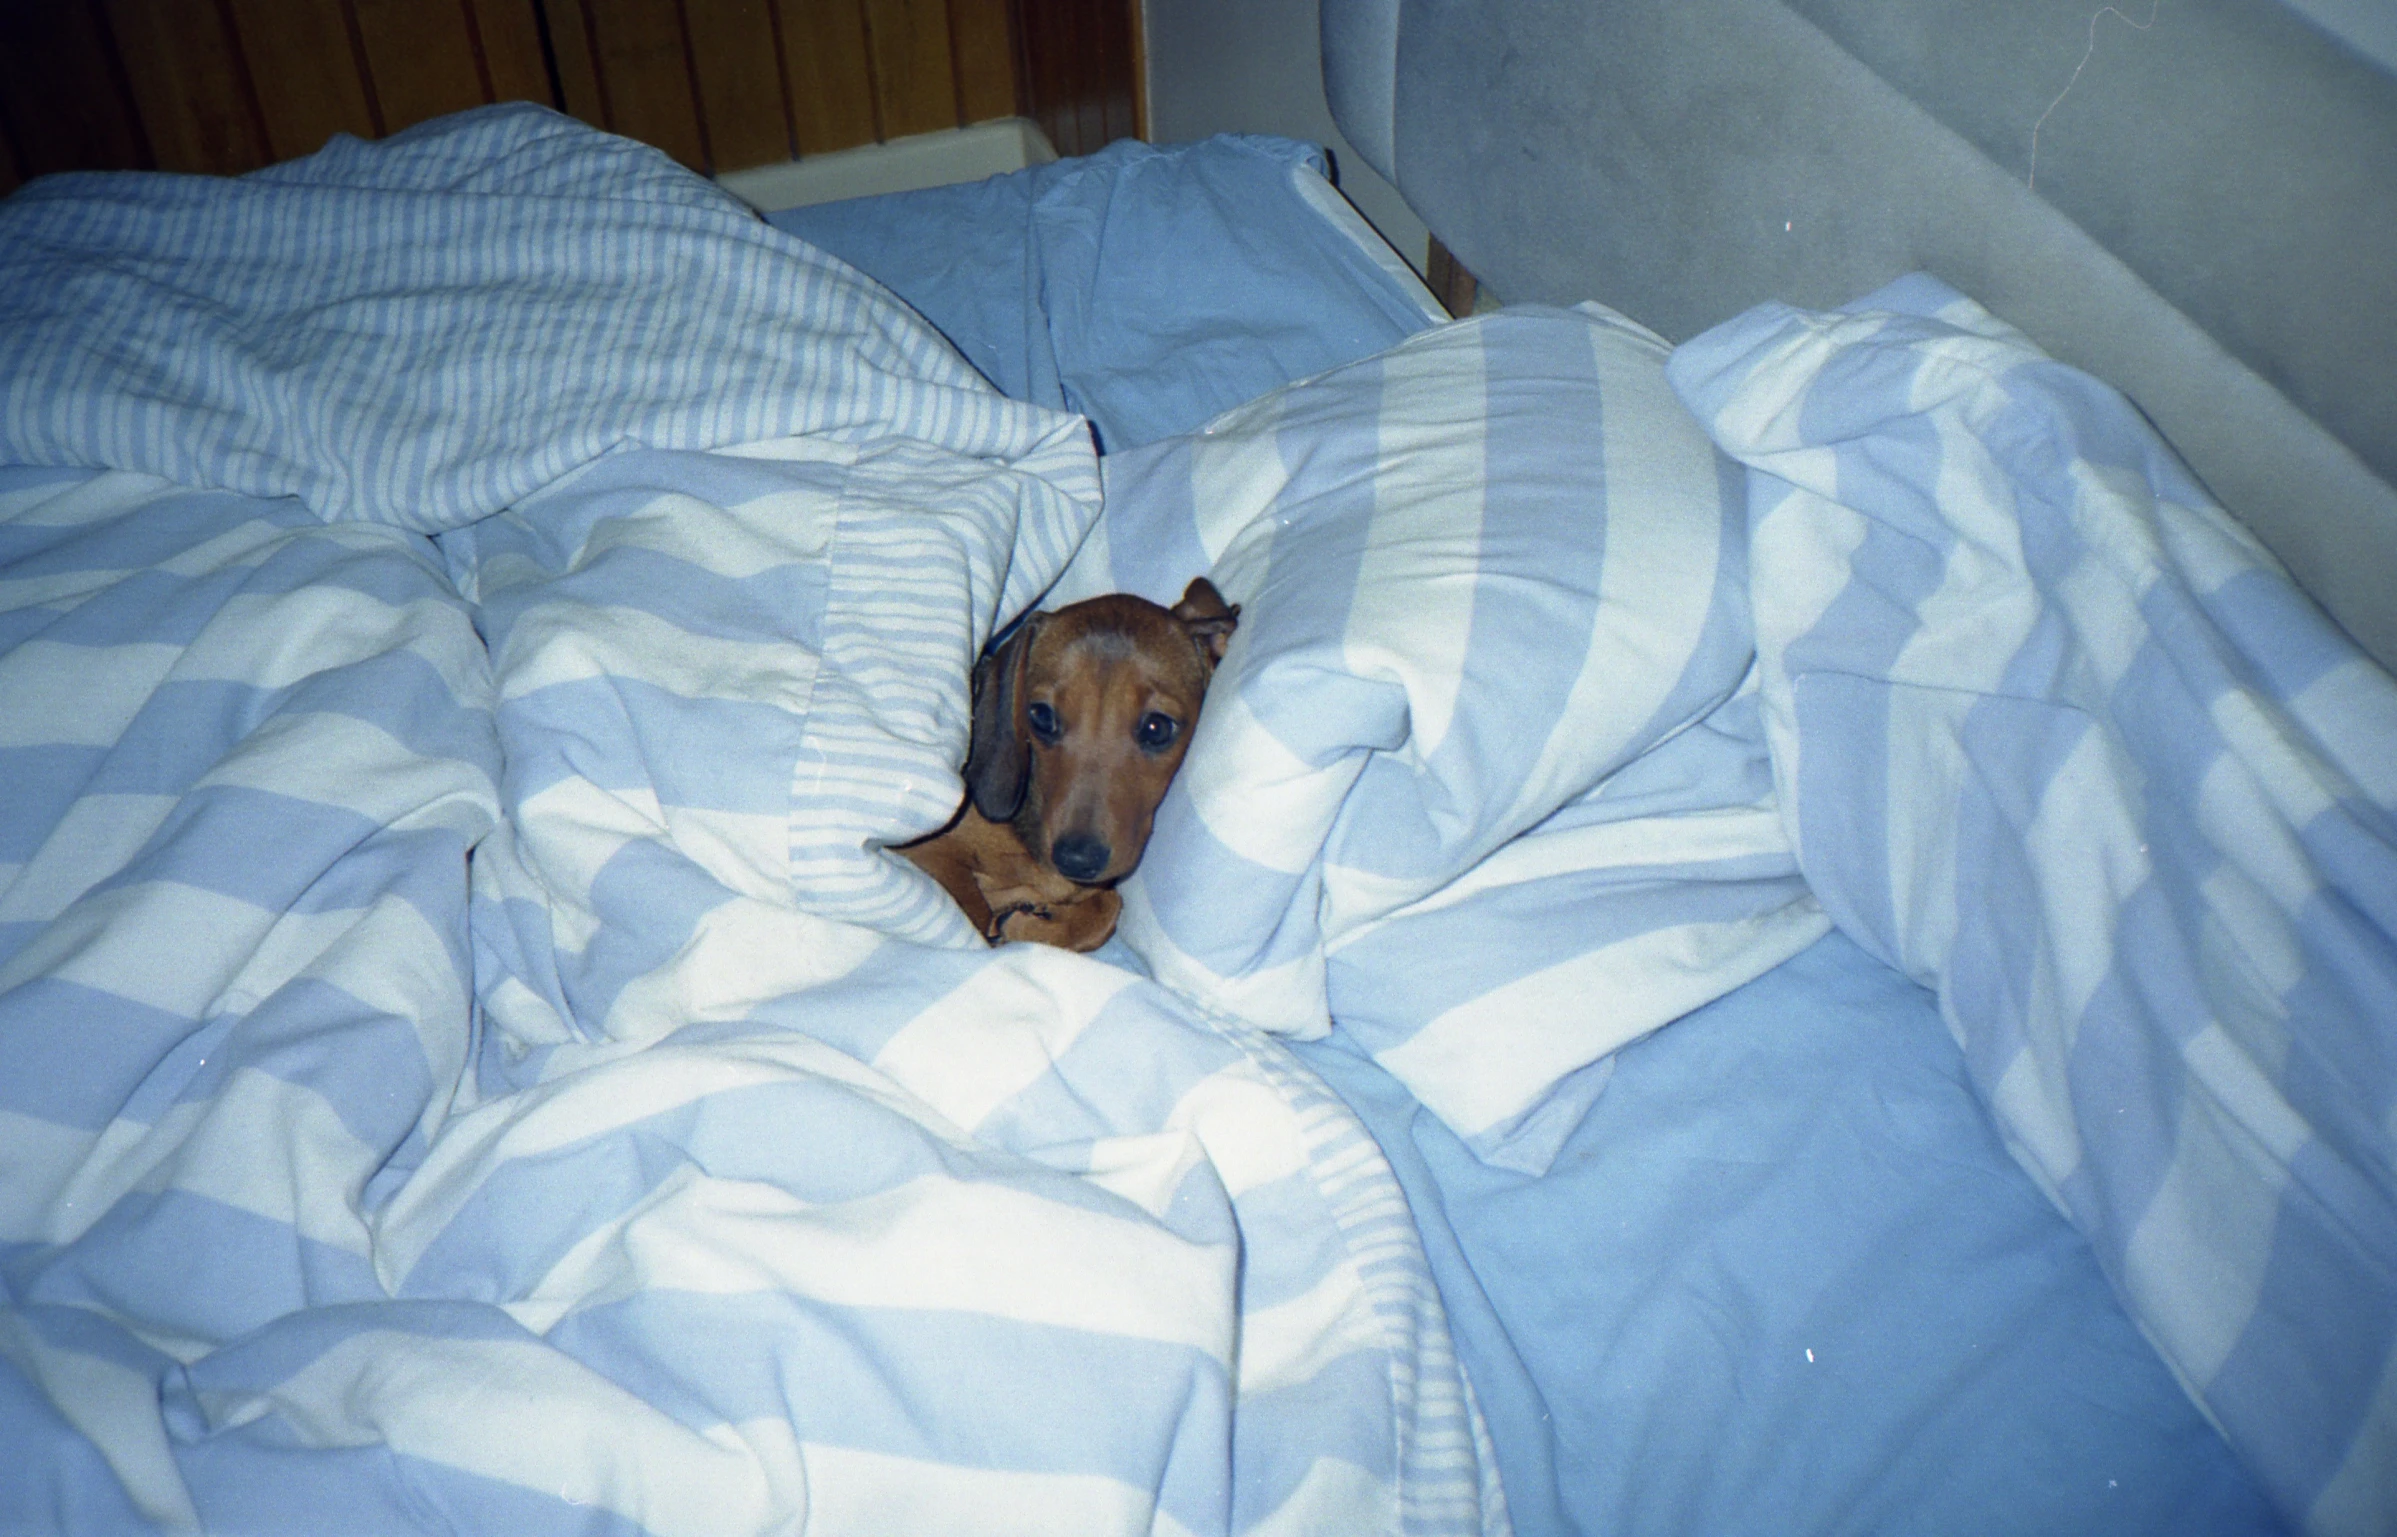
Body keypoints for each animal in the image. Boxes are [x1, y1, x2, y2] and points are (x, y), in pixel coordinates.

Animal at [901, 577, 1236, 949]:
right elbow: (972, 915)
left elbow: (1106, 906)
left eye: (1157, 727)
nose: (1076, 859)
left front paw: (1027, 924)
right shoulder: (930, 850)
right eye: (1041, 715)